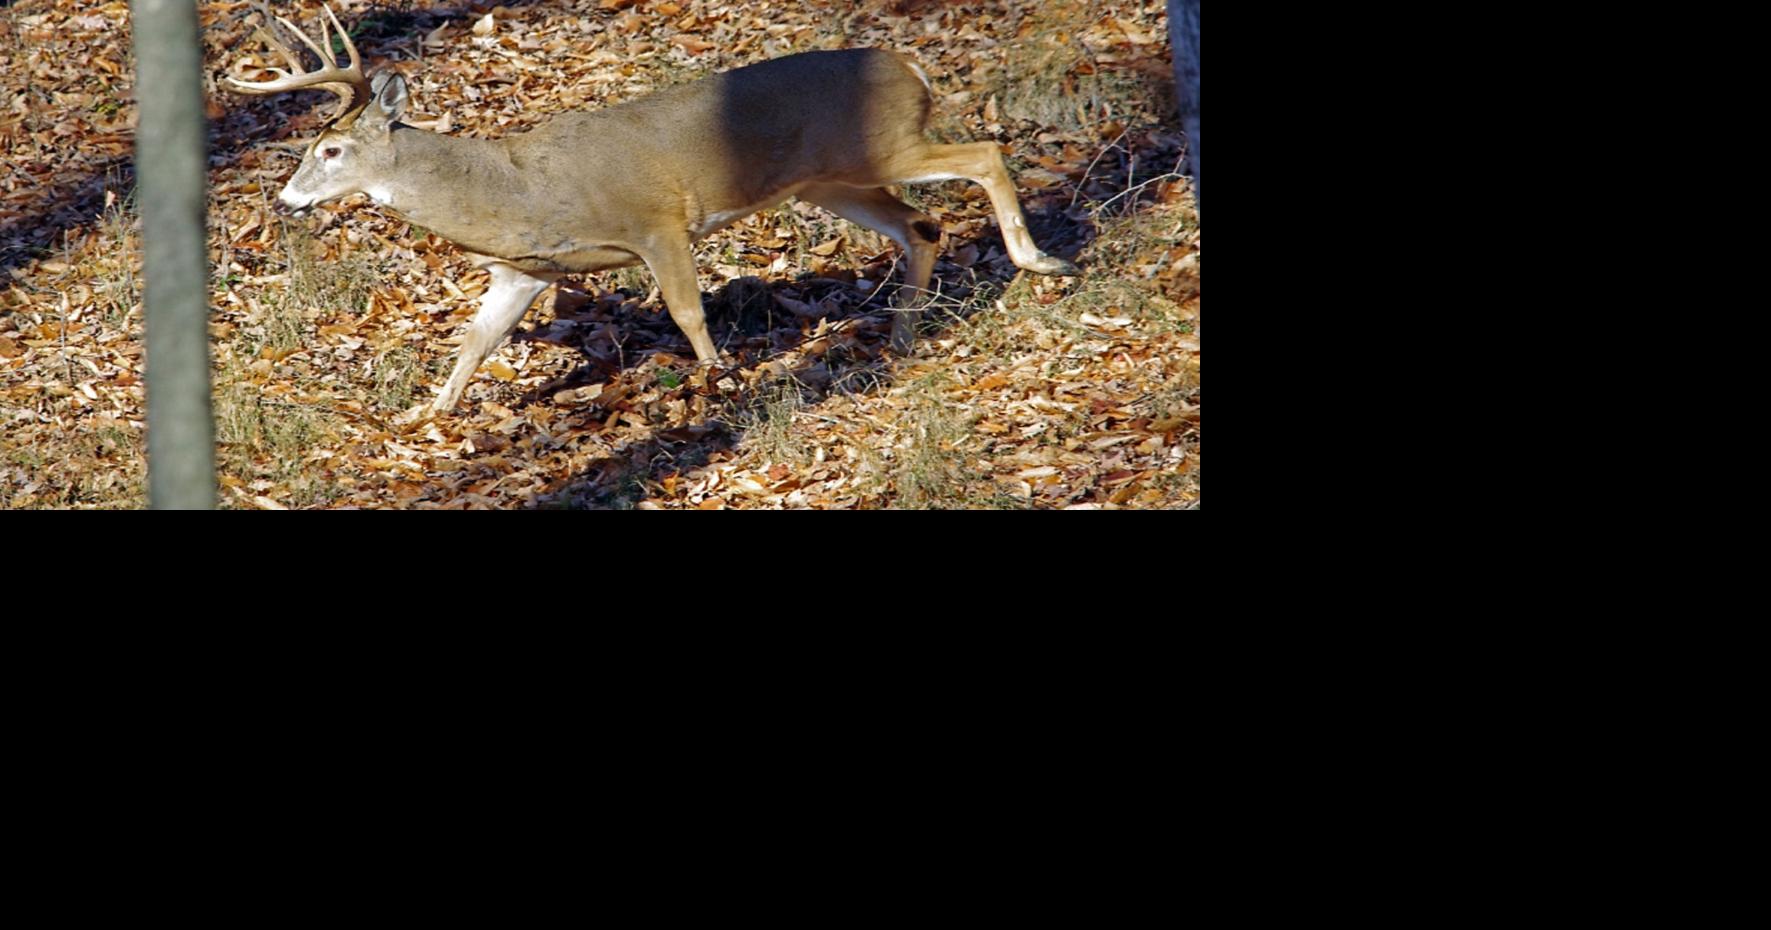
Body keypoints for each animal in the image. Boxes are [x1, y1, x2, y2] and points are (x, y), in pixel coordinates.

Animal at [223, 4, 1079, 420]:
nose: (287, 197)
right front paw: (423, 416)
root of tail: (910, 65)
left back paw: (1039, 260)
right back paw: (901, 336)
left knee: (985, 154)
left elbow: (687, 311)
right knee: (920, 224)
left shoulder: (655, 224)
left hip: (882, 147)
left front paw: (719, 382)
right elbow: (473, 342)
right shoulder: (522, 271)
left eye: (331, 151)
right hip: (827, 180)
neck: (510, 191)